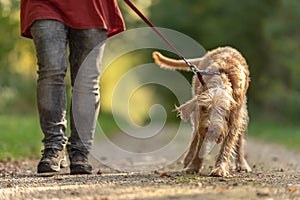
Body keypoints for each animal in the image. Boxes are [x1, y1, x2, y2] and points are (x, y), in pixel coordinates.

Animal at [152, 46, 251, 177]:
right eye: (204, 108)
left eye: (223, 109)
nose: (212, 129)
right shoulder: (202, 121)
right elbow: (200, 143)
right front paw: (194, 166)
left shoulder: (234, 117)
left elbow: (227, 145)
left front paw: (220, 168)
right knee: (195, 134)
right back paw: (188, 158)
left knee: (239, 139)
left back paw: (242, 164)